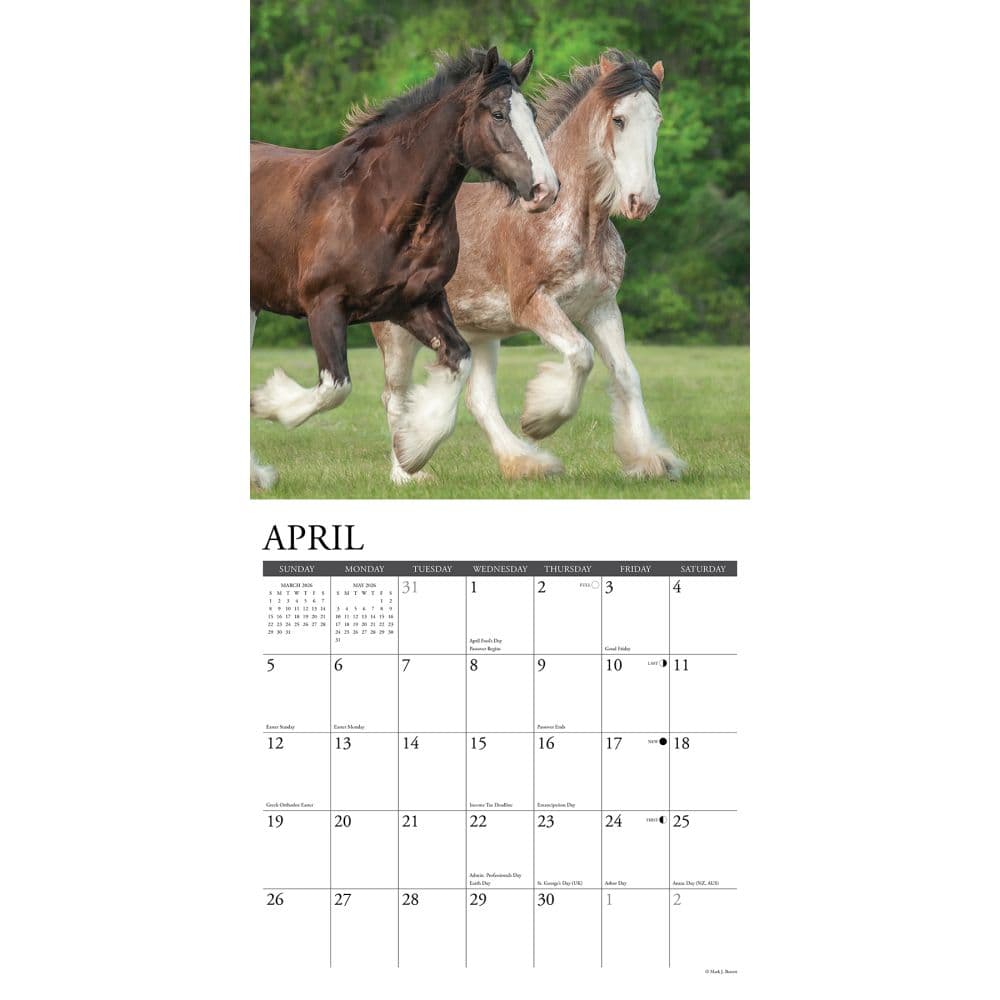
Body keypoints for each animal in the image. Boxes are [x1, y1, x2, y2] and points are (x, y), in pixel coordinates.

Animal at [250, 47, 558, 489]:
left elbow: (458, 360)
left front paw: (413, 452)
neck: (378, 204)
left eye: (531, 112)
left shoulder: (414, 304)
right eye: (499, 114)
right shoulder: (323, 305)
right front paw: (267, 401)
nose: (545, 190)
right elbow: (334, 387)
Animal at [372, 50, 685, 483]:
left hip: (480, 333)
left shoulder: (600, 306)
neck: (572, 219)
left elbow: (626, 374)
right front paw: (540, 419)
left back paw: (524, 463)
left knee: (479, 400)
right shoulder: (533, 304)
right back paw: (407, 471)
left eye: (657, 119)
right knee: (395, 396)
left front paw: (649, 459)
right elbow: (581, 355)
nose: (643, 200)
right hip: (397, 332)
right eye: (619, 119)